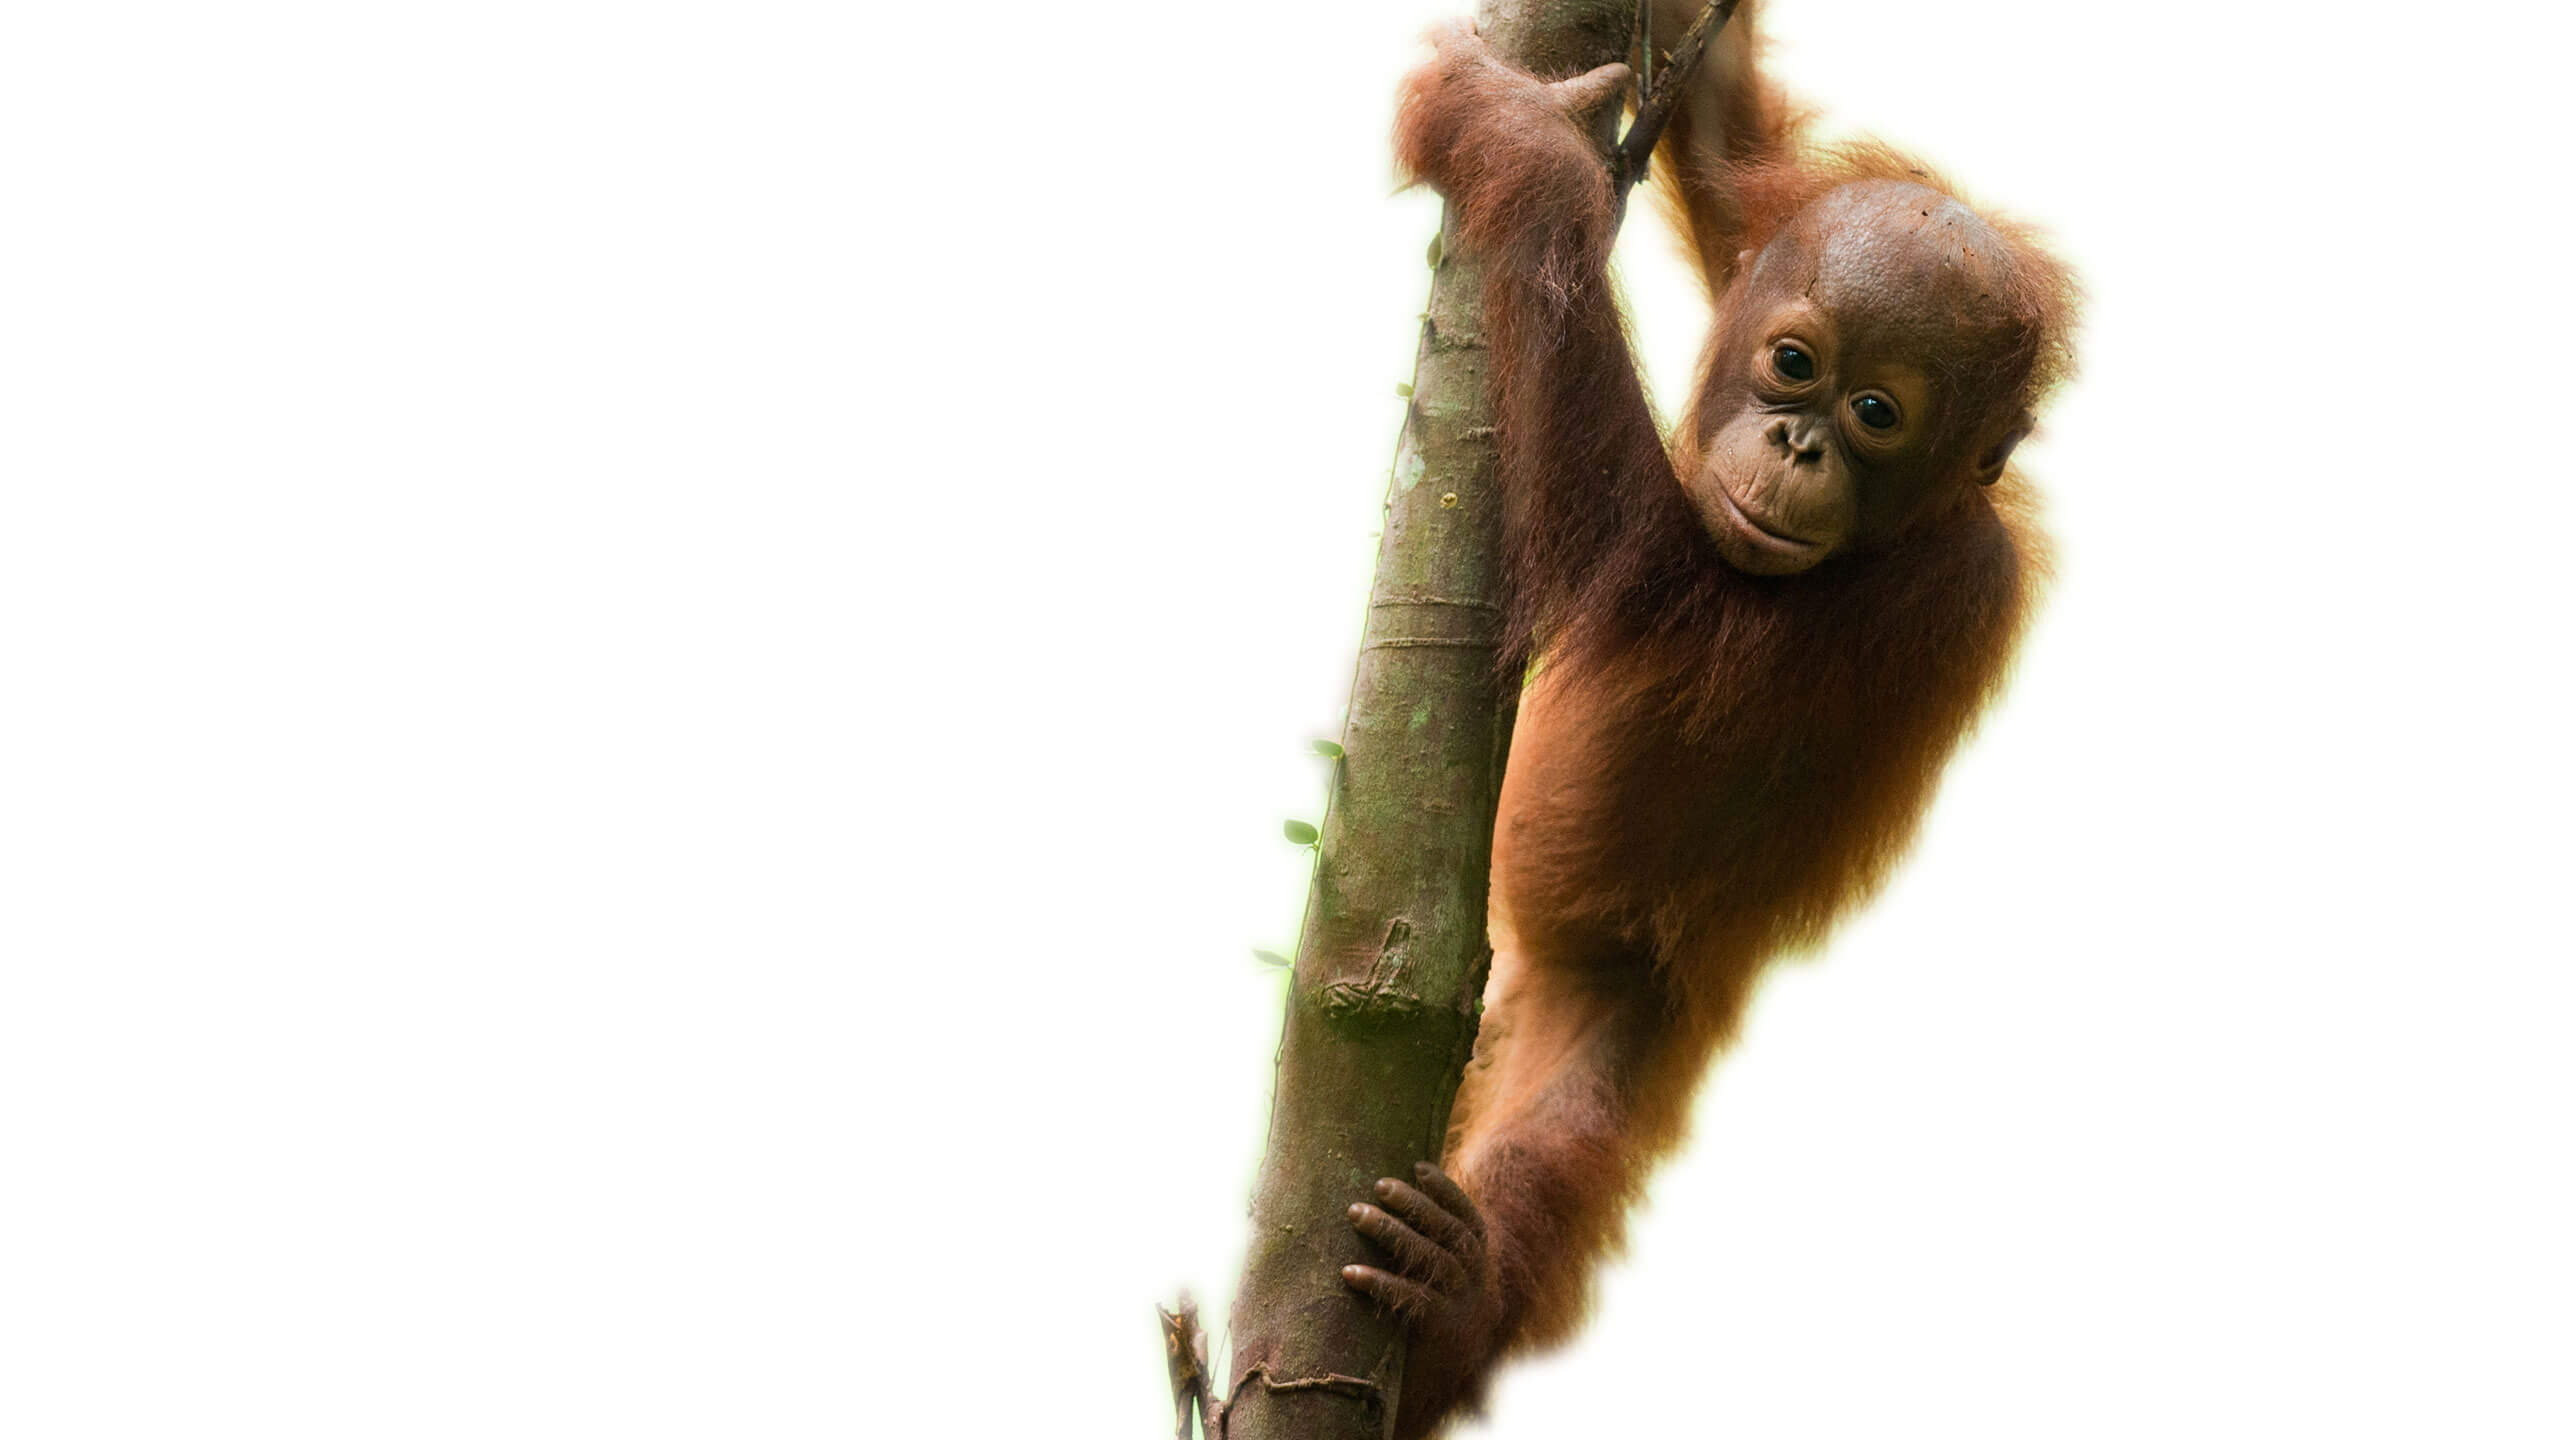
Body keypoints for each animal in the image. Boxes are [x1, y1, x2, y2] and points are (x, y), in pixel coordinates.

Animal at [1339, 8, 2079, 1434]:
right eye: (1793, 363)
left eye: (1876, 413)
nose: (1799, 448)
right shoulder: (1766, 225)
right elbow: (1735, 157)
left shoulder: (1913, 601)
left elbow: (1634, 573)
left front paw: (1526, 149)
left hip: (1629, 1009)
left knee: (1562, 1147)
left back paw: (1456, 1299)